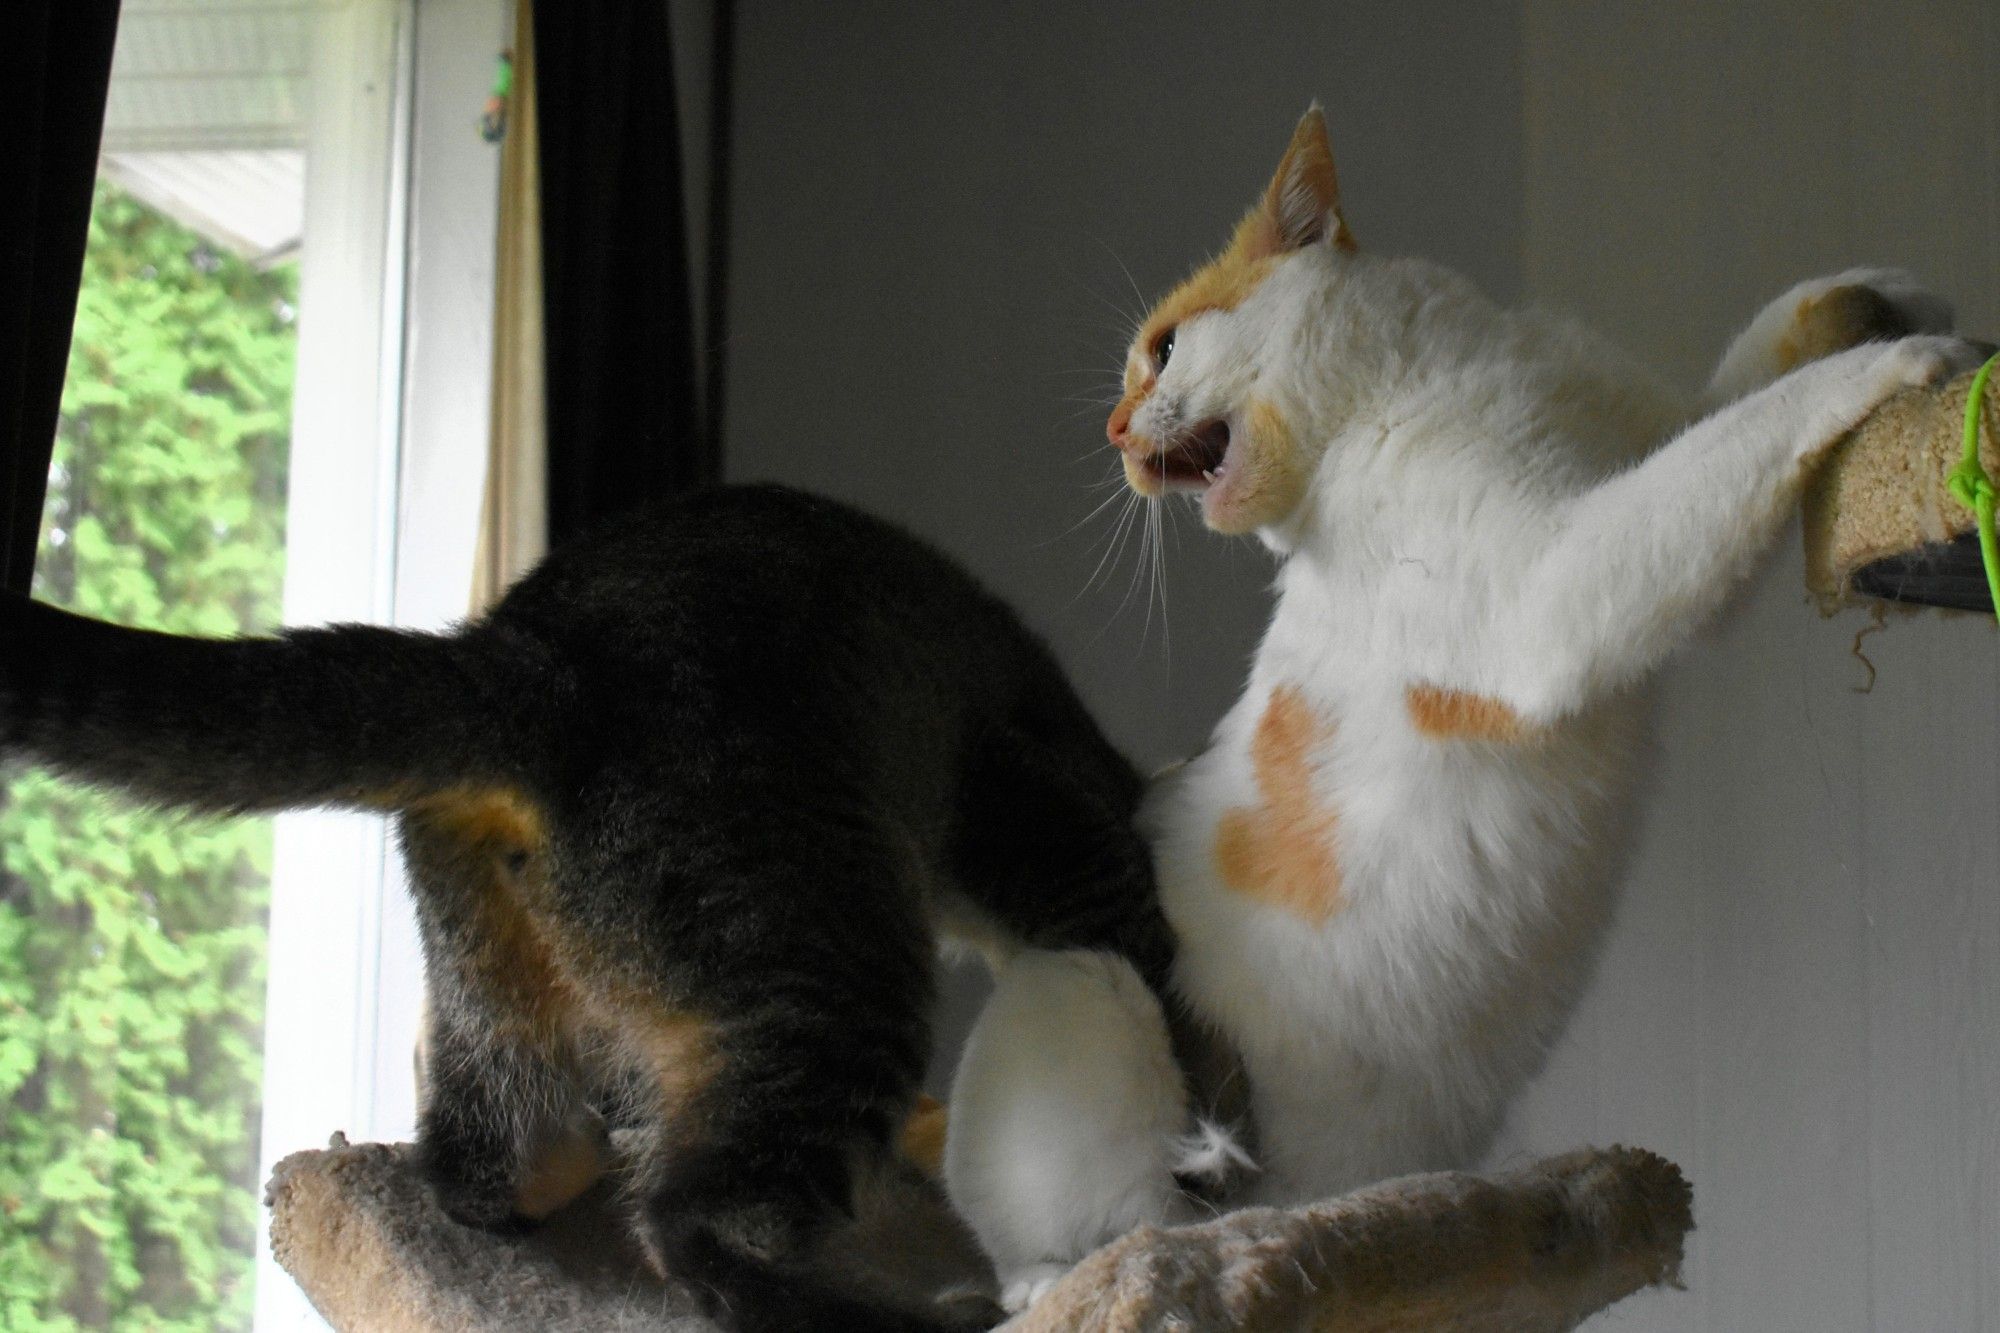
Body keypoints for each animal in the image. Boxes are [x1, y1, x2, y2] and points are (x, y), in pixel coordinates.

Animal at [940, 106, 1968, 1304]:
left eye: (1161, 349)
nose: (1110, 430)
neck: (1447, 374)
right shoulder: (1558, 584)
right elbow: (1750, 430)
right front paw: (1888, 365)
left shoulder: (1642, 452)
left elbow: (1736, 393)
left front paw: (1880, 293)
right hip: (1086, 981)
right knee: (1074, 1231)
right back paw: (1094, 1274)